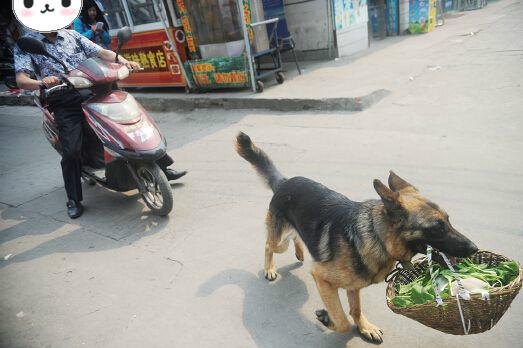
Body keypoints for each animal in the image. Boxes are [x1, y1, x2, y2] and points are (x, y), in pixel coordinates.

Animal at [237, 133, 478, 342]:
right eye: (436, 229)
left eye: (448, 220)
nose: (474, 248)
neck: (378, 237)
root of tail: (284, 182)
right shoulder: (321, 278)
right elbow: (342, 321)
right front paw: (328, 320)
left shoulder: (354, 285)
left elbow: (355, 309)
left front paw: (364, 327)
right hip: (280, 241)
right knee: (268, 245)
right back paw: (269, 268)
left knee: (296, 237)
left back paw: (300, 252)